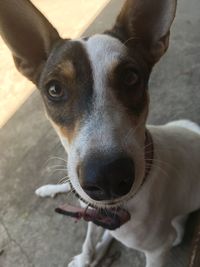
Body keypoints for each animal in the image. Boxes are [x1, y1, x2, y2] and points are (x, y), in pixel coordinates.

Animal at [0, 0, 200, 266]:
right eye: (54, 89)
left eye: (131, 77)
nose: (107, 178)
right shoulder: (90, 205)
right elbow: (88, 233)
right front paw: (86, 256)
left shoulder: (158, 250)